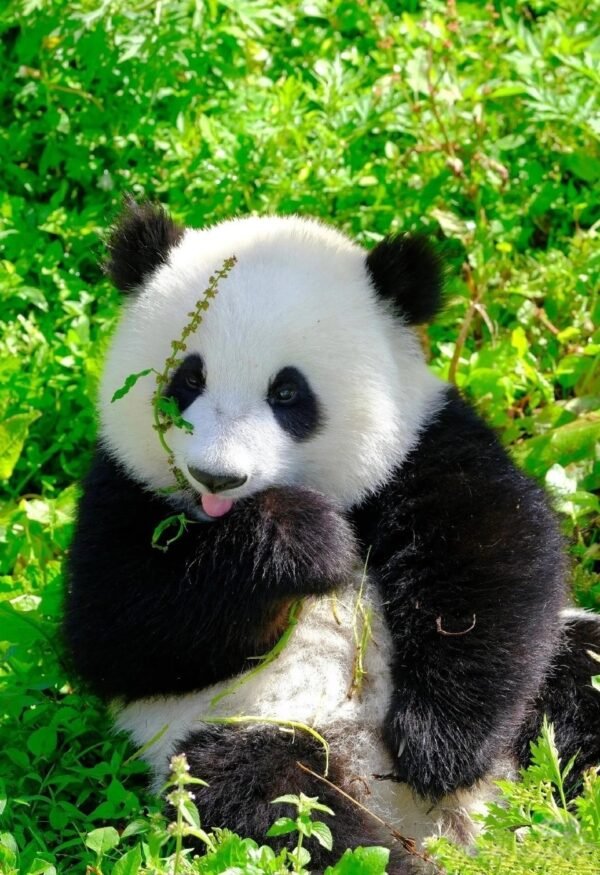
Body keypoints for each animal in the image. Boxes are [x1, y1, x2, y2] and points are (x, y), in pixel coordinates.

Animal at [65, 201, 600, 873]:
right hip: (252, 734)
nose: (217, 476)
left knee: (578, 672)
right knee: (269, 798)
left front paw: (439, 750)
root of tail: (446, 828)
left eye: (288, 392)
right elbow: (117, 629)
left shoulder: (423, 445)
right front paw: (302, 542)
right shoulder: (121, 488)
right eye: (187, 380)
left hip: (555, 678)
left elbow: (493, 560)